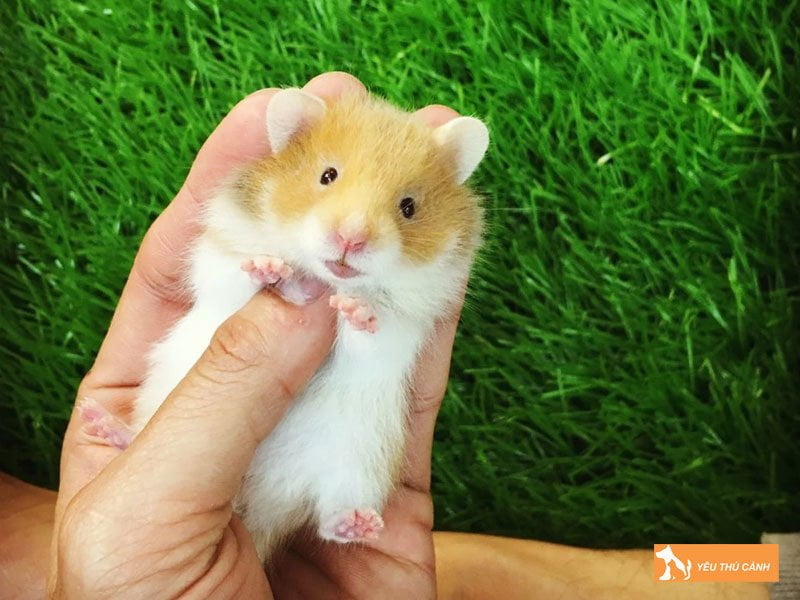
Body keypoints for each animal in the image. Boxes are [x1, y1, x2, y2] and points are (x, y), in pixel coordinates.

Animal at [131, 89, 489, 561]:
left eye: (409, 207)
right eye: (327, 175)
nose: (350, 239)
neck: (327, 278)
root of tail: (261, 506)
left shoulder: (405, 327)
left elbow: (373, 332)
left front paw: (356, 308)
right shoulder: (217, 257)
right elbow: (238, 278)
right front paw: (272, 270)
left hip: (356, 463)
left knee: (329, 516)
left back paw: (359, 524)